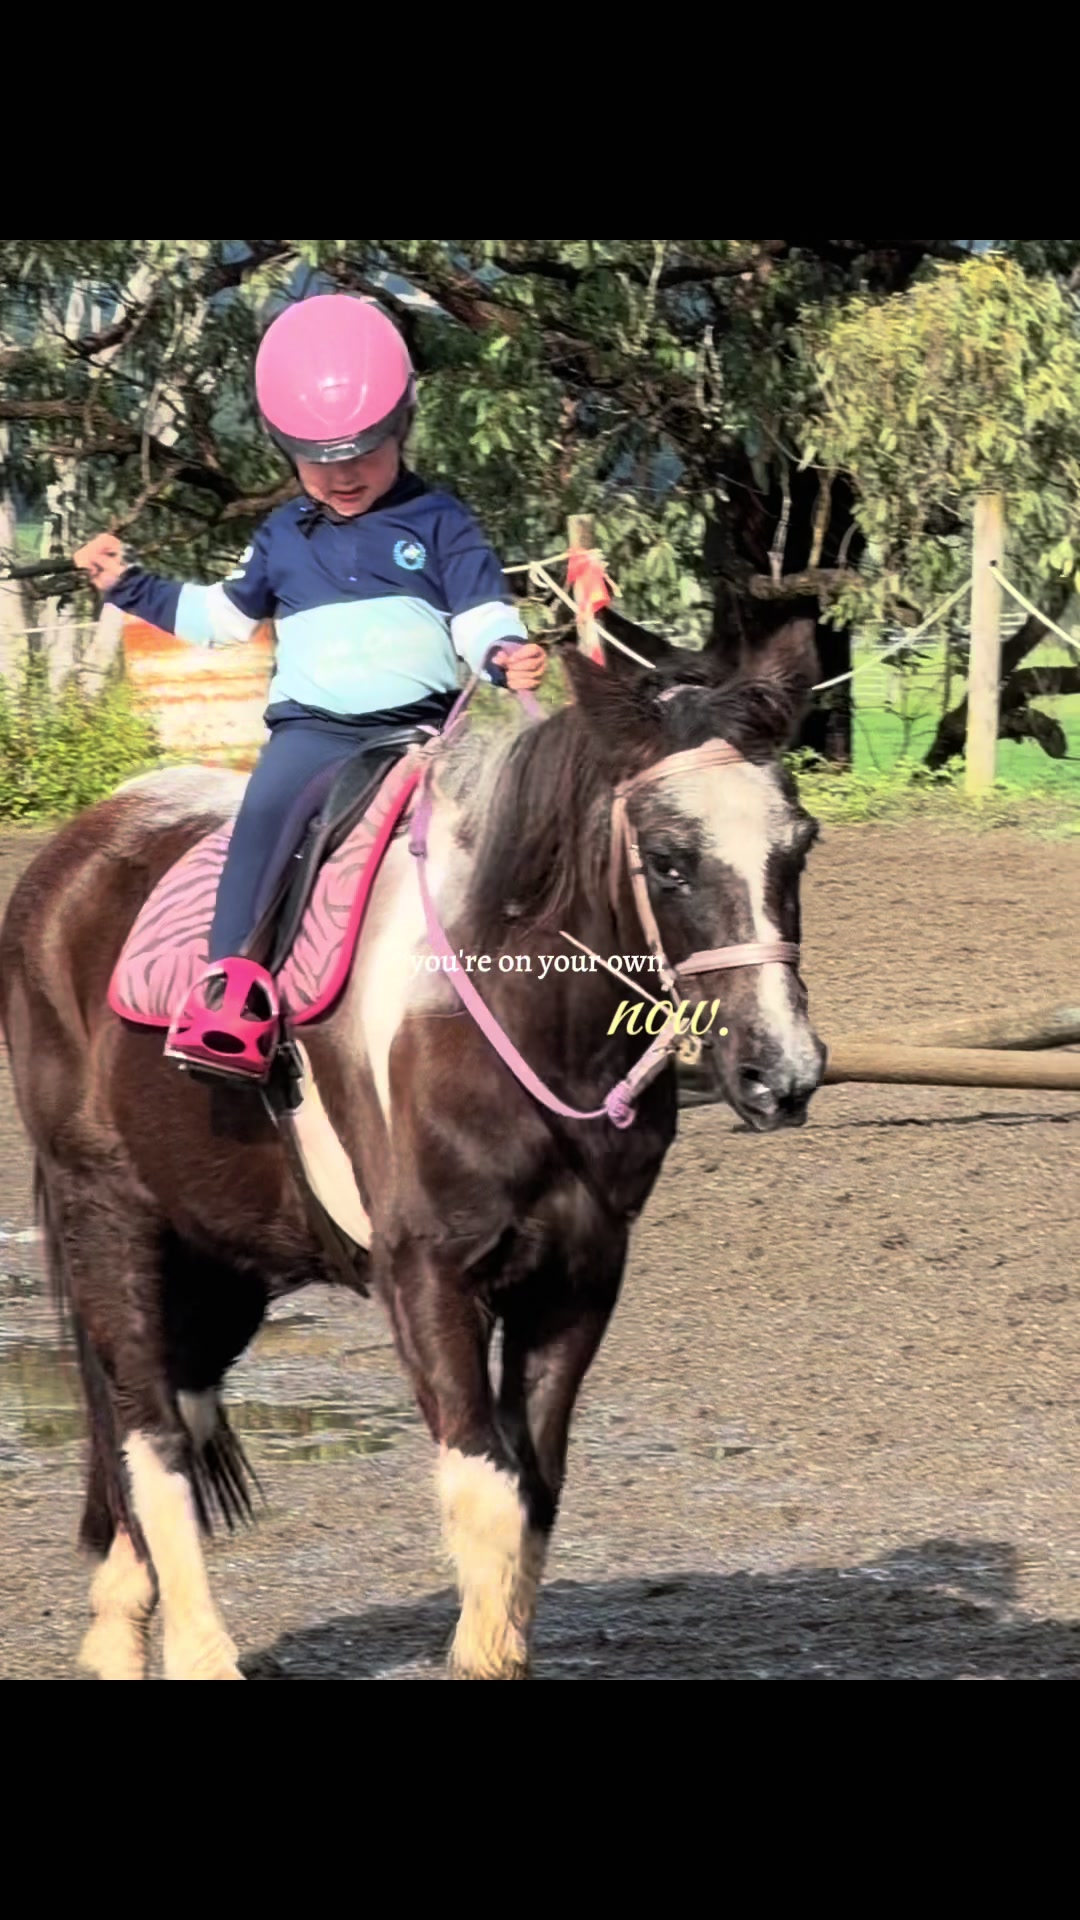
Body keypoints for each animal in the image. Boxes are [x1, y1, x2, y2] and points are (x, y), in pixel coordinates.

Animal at [0, 618, 826, 1680]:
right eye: (671, 858)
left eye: (798, 846)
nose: (781, 1072)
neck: (510, 1012)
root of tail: (74, 856)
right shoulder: (428, 1277)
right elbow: (485, 1489)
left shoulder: (580, 1279)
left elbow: (535, 1490)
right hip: (109, 1215)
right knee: (152, 1440)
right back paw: (199, 1650)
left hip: (221, 1253)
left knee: (173, 1409)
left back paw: (115, 1636)